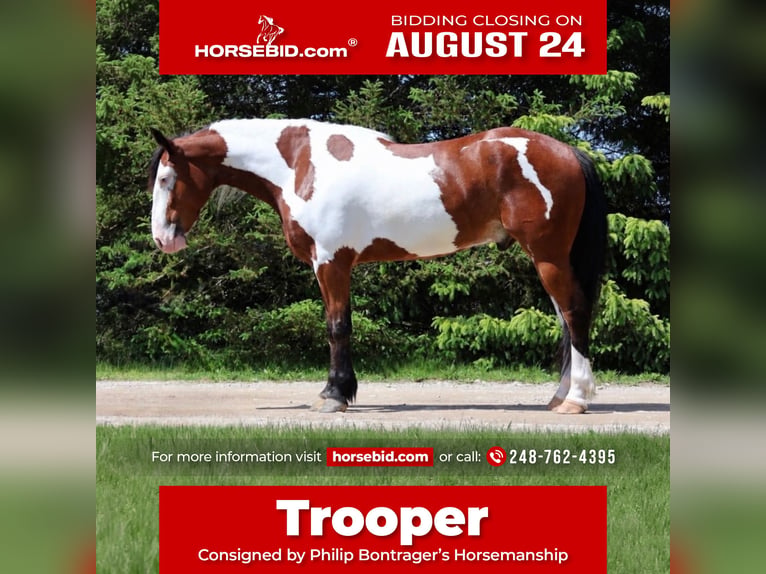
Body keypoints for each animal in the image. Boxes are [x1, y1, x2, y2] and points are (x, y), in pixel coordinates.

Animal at [148, 118, 607, 414]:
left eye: (167, 179)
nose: (163, 239)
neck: (299, 163)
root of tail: (568, 151)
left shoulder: (331, 263)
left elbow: (337, 327)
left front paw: (333, 396)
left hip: (548, 255)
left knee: (575, 314)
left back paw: (576, 400)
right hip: (547, 258)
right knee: (566, 321)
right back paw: (559, 397)